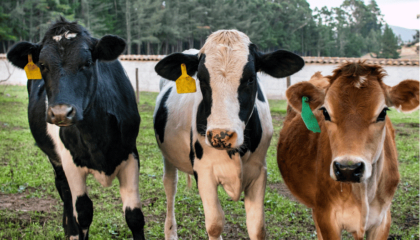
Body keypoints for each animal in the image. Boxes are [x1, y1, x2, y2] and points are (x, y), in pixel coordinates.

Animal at [5, 17, 144, 240]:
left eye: (87, 63)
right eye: (42, 65)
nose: (61, 113)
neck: (96, 136)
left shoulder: (130, 153)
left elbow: (134, 216)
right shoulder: (69, 160)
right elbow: (84, 212)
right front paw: (75, 229)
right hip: (55, 159)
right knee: (65, 192)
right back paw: (70, 230)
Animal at [153, 30, 304, 240]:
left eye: (251, 79)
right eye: (202, 79)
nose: (221, 135)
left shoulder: (259, 171)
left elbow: (257, 227)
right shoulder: (204, 171)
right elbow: (215, 224)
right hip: (168, 156)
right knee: (170, 186)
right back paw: (170, 232)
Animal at [276, 62, 420, 240]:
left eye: (383, 112)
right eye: (325, 112)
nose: (348, 169)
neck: (363, 193)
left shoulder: (383, 219)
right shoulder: (327, 216)